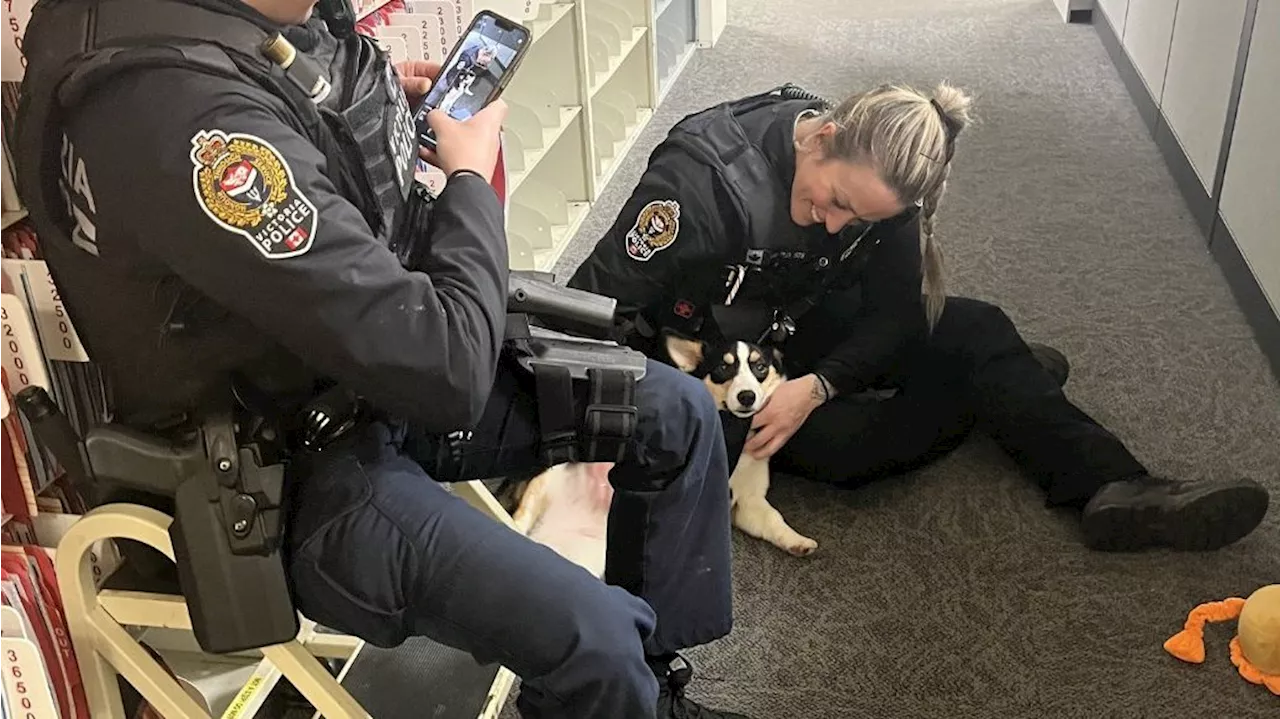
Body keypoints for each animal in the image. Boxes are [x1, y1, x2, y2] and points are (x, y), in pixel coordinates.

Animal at [660, 335, 819, 555]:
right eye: (723, 368)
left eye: (760, 367)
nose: (747, 396)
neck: (737, 428)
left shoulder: (749, 501)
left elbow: (773, 516)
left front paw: (796, 540)